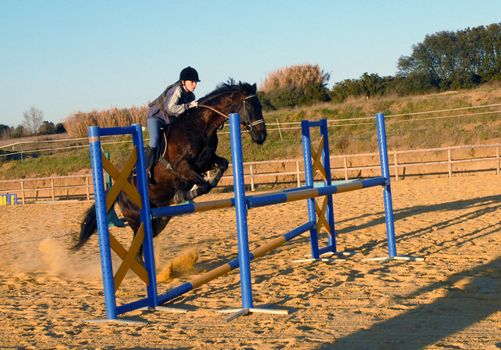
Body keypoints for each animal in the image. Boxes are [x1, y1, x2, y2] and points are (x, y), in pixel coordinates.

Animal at [73, 80, 266, 249]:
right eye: (250, 106)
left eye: (261, 106)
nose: (262, 136)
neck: (200, 126)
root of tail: (118, 191)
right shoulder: (181, 166)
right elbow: (203, 185)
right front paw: (184, 194)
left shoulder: (206, 162)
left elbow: (222, 167)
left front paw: (189, 190)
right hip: (137, 221)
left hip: (157, 219)